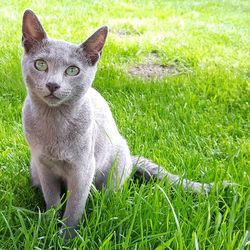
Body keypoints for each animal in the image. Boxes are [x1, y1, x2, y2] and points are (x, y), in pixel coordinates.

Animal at [21, 10, 234, 240]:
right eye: (41, 64)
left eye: (72, 71)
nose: (53, 84)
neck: (54, 122)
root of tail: (132, 159)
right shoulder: (44, 165)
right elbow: (52, 200)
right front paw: (48, 227)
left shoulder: (82, 168)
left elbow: (74, 207)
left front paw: (66, 237)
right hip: (34, 169)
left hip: (115, 162)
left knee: (106, 194)